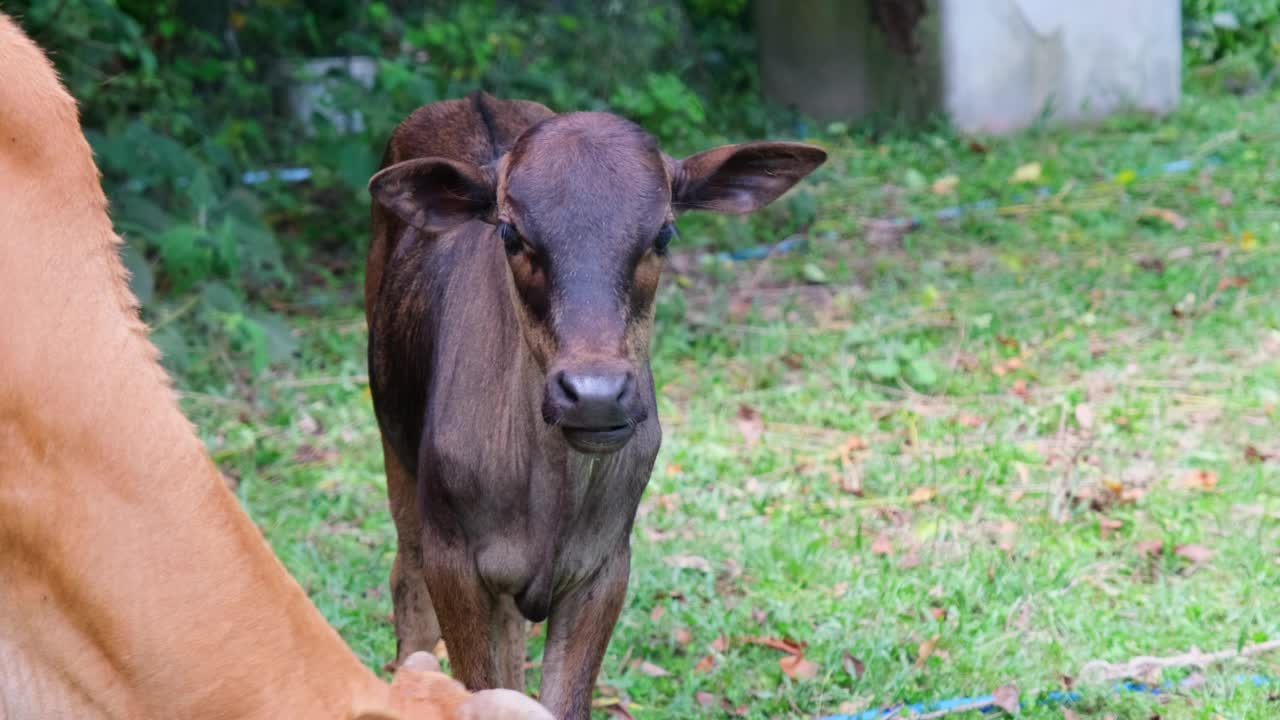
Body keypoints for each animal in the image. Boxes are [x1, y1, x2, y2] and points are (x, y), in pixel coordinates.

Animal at [366, 90, 824, 717]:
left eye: (664, 233)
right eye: (510, 233)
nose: (594, 395)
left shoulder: (605, 566)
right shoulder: (451, 558)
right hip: (398, 466)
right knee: (406, 595)